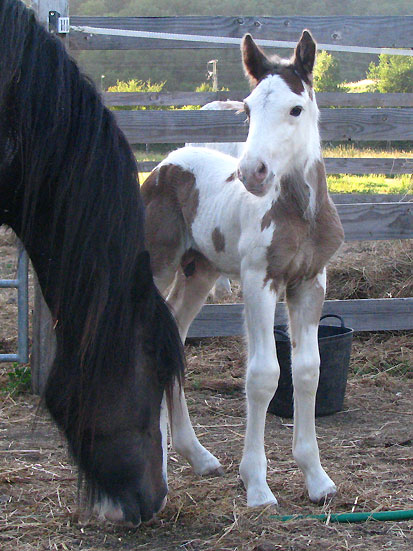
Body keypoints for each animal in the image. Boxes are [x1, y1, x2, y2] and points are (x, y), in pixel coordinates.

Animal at [143, 31, 342, 508]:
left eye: (295, 108)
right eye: (248, 109)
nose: (252, 173)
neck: (299, 212)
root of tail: (164, 164)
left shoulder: (311, 281)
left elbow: (308, 369)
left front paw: (317, 478)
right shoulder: (259, 279)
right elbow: (264, 375)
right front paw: (257, 484)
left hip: (199, 272)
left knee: (173, 335)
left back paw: (195, 455)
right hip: (158, 266)